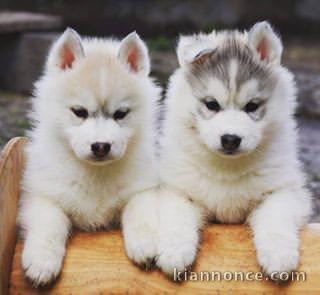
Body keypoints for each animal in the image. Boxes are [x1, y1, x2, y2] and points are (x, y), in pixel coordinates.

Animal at [18, 28, 160, 286]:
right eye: (79, 112)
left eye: (121, 114)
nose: (101, 146)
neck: (96, 174)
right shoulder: (41, 195)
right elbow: (48, 226)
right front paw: (42, 262)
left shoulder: (143, 189)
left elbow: (139, 214)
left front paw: (144, 244)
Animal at [123, 22, 312, 280]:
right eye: (212, 104)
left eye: (252, 106)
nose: (230, 139)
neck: (227, 168)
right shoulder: (177, 190)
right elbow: (176, 218)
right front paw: (174, 252)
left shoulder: (285, 190)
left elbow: (276, 216)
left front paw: (279, 256)